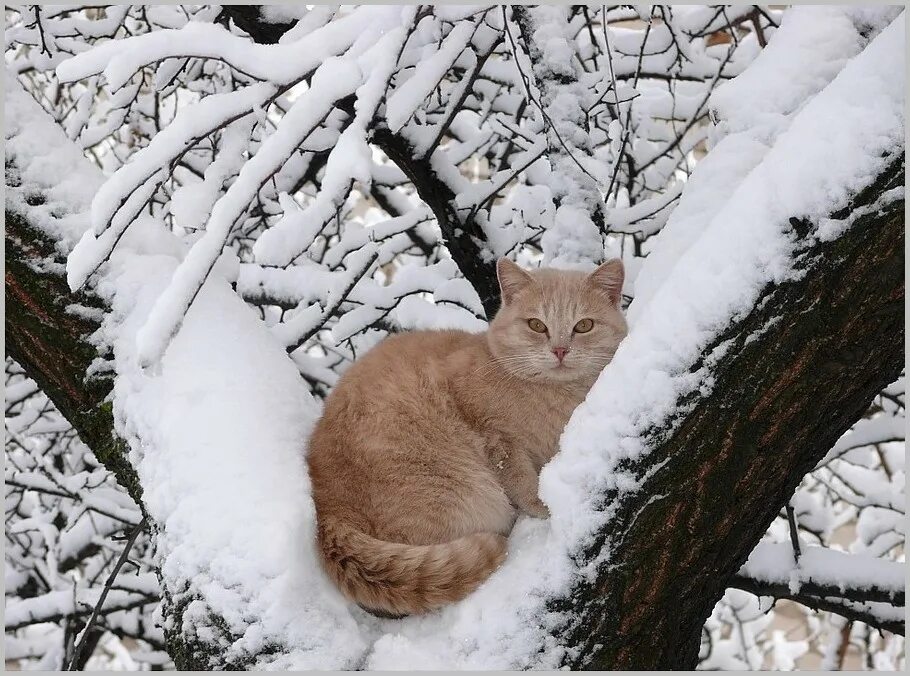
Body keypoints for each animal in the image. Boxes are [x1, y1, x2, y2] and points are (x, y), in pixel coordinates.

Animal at [306, 256, 628, 616]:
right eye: (536, 325)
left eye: (583, 326)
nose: (560, 349)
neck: (555, 397)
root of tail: (328, 513)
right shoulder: (496, 438)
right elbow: (522, 482)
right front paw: (544, 505)